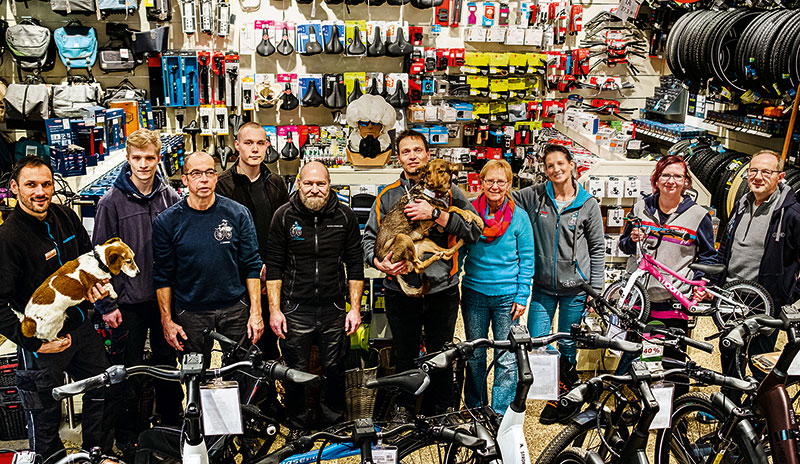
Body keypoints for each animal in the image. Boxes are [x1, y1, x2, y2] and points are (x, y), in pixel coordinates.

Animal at [374, 160, 482, 298]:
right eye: (428, 172)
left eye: (440, 171)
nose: (430, 184)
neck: (437, 193)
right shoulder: (426, 219)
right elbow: (451, 207)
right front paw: (466, 215)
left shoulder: (439, 226)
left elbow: (460, 209)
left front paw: (478, 220)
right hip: (403, 238)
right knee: (418, 267)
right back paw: (435, 257)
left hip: (425, 241)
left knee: (446, 254)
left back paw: (455, 245)